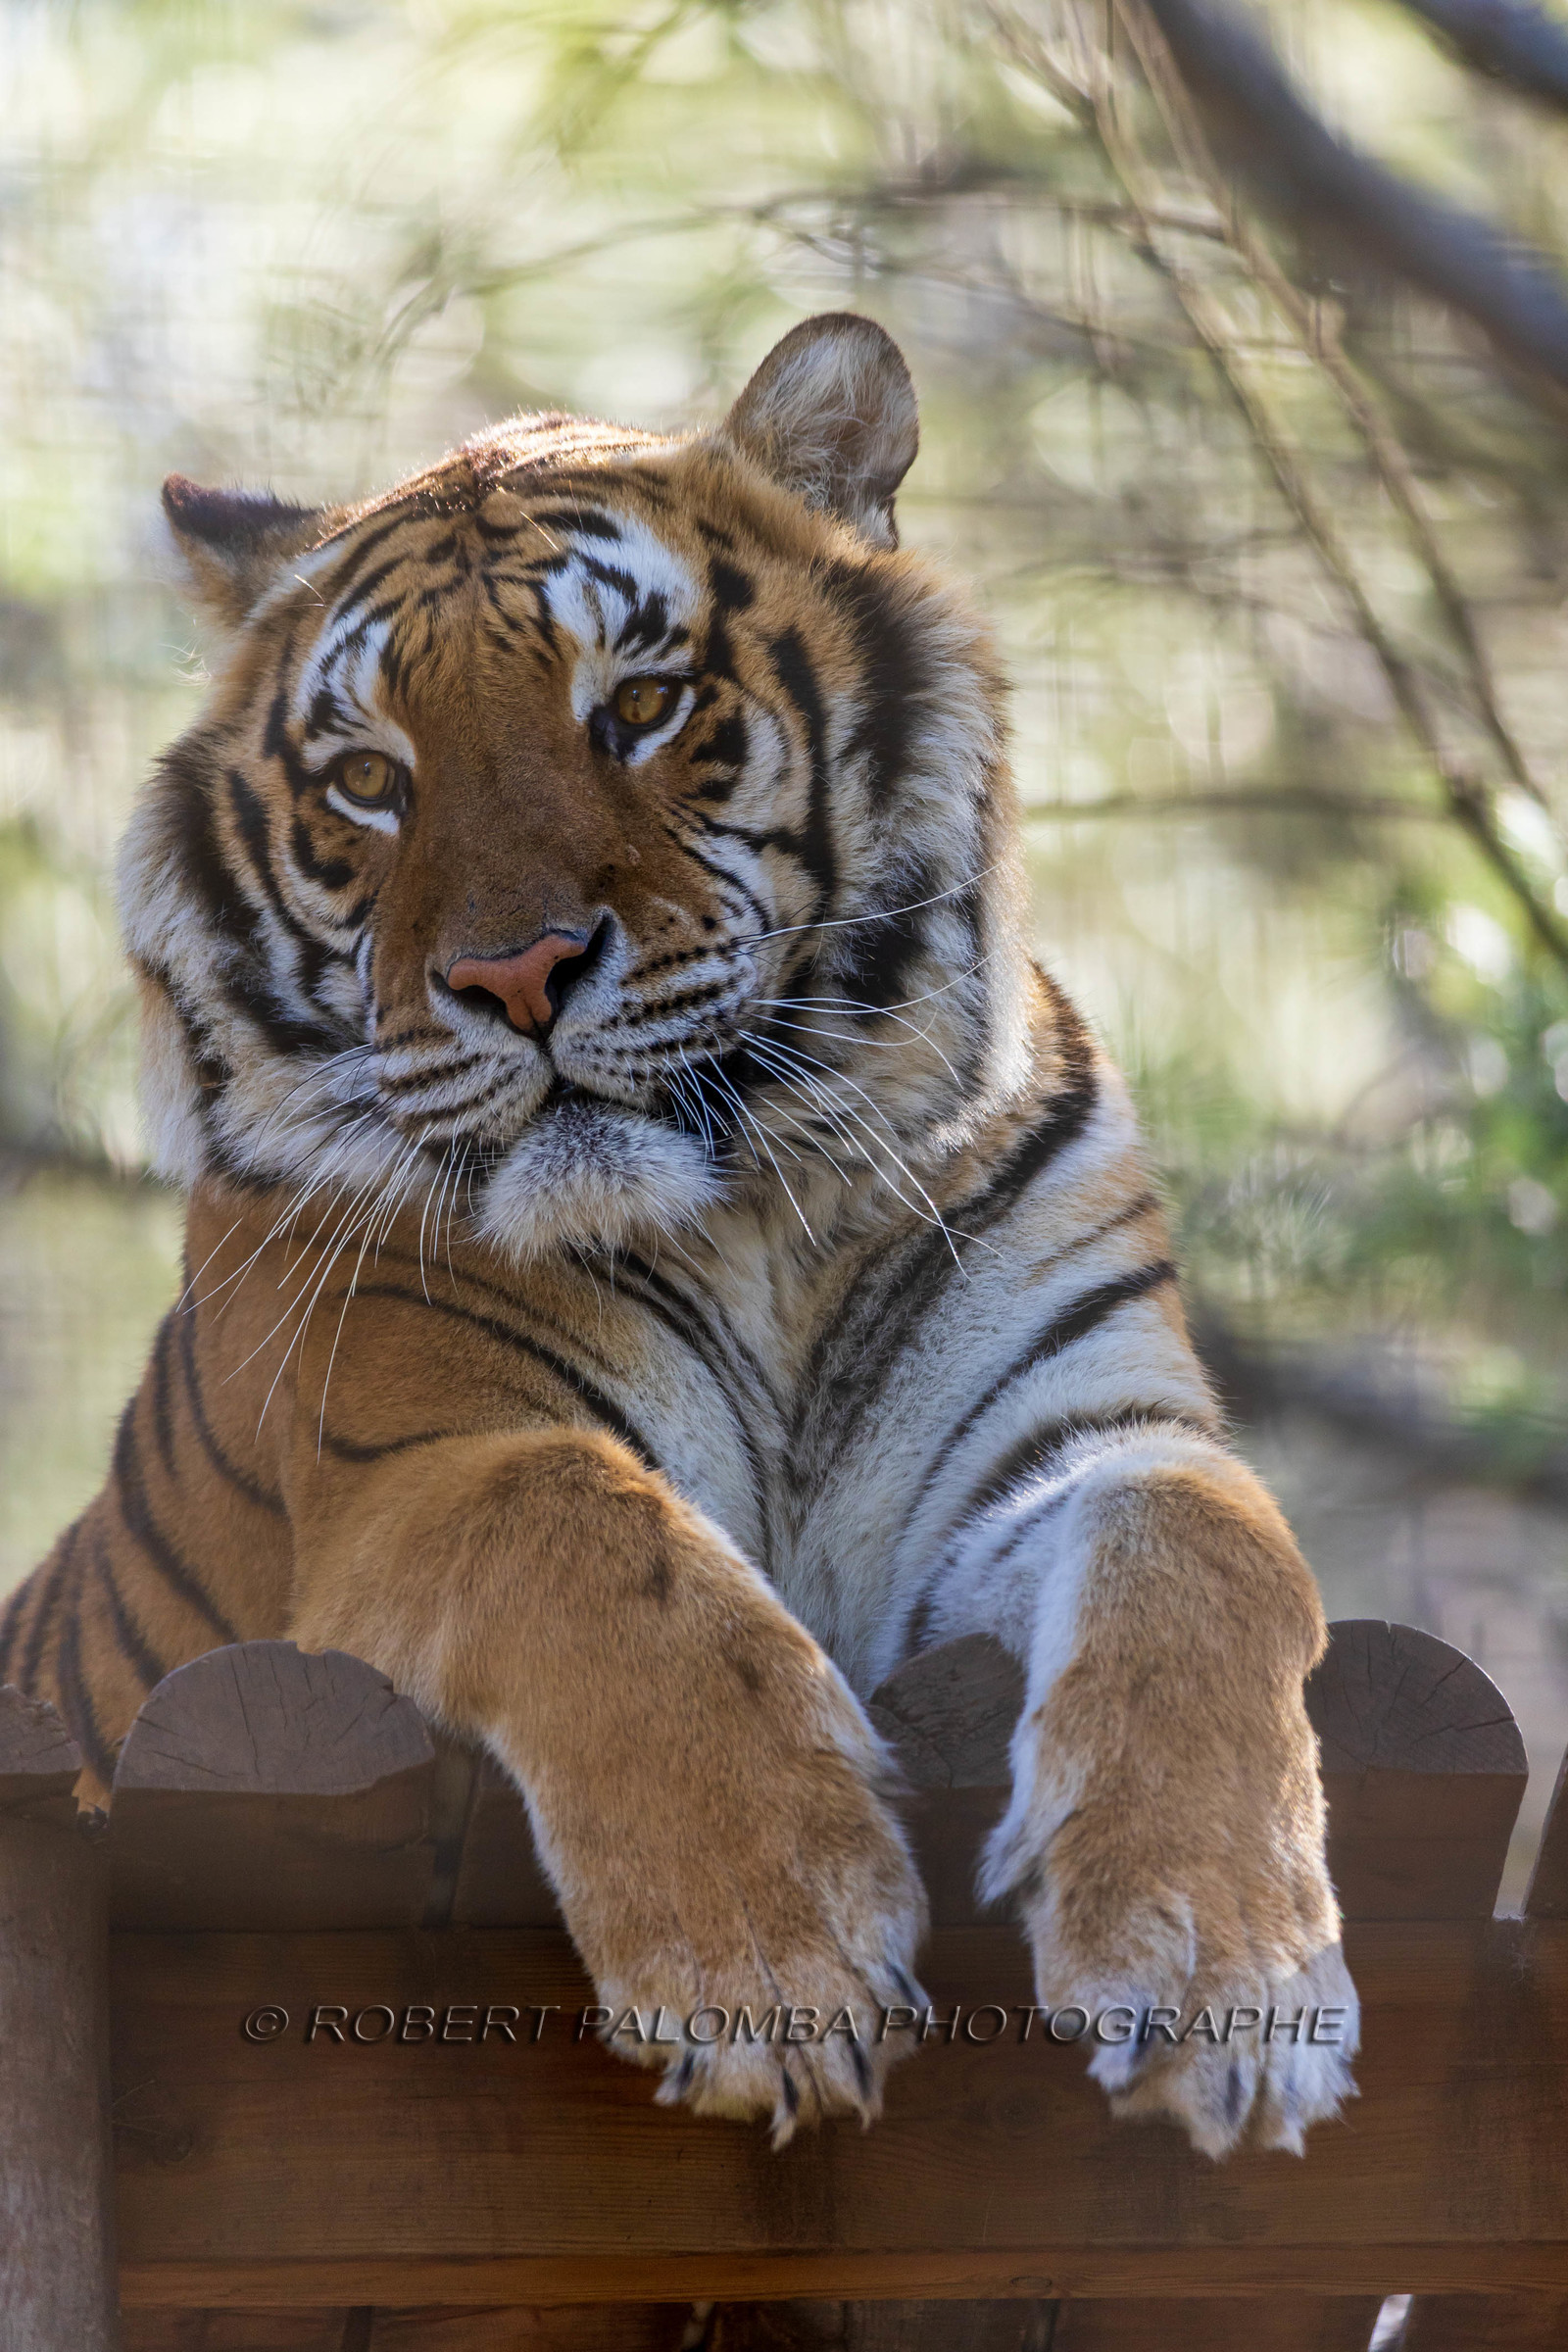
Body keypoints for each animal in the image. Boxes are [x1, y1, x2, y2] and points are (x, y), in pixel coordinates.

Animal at [1, 311, 1356, 2158]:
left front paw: (1223, 1970)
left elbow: (1212, 1546)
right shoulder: (429, 1458)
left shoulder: (1084, 1433)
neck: (760, 1214)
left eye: (640, 706)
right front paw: (774, 1963)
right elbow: (598, 1542)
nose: (513, 975)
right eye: (368, 780)